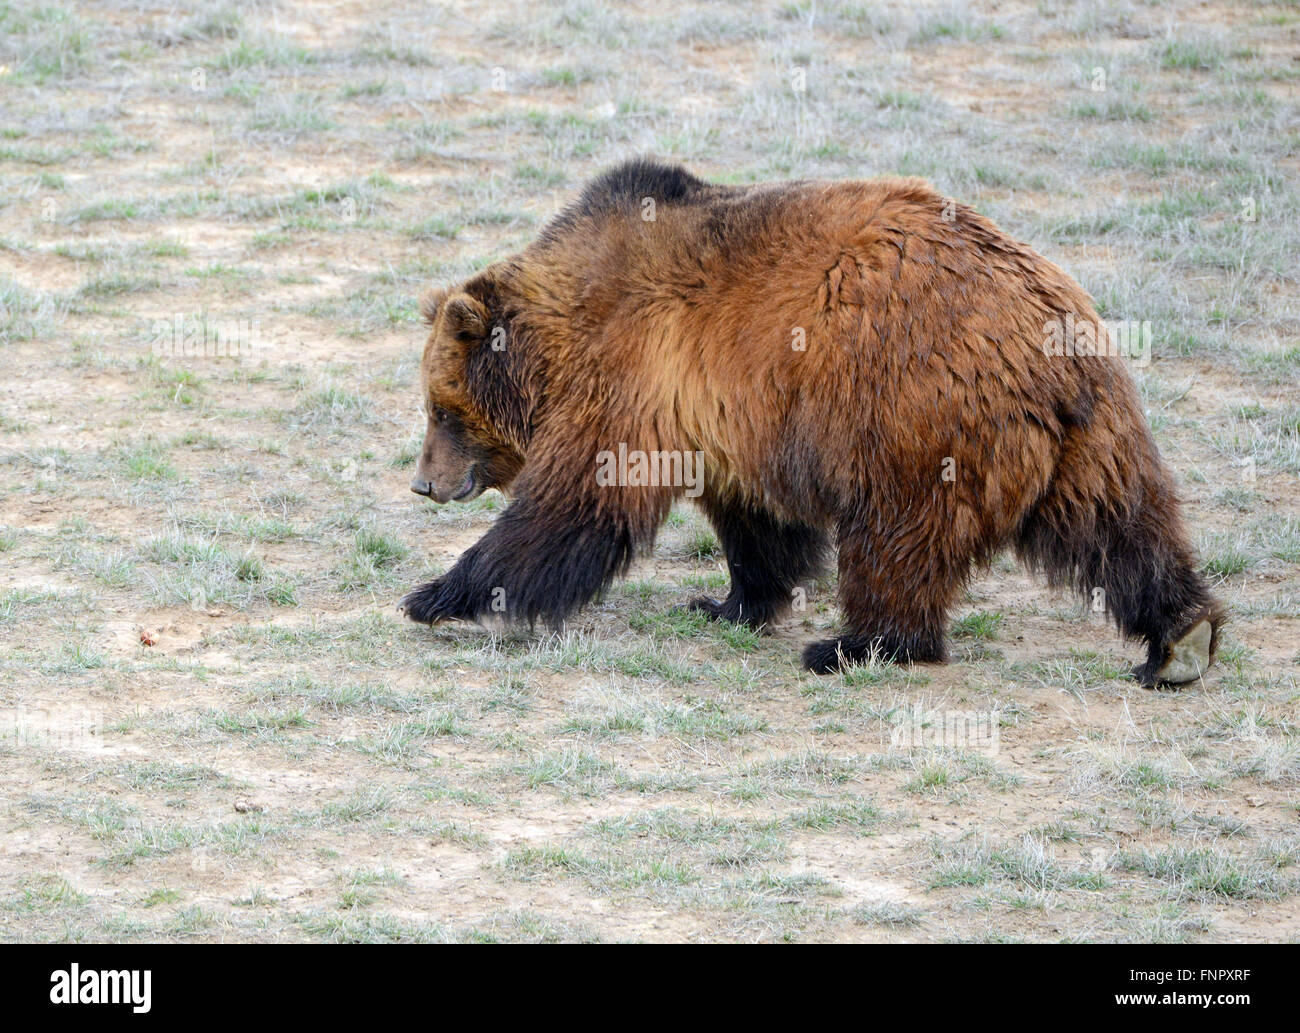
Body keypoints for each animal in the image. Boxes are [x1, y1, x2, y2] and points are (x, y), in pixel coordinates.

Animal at [395, 157, 1216, 686]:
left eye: (441, 408)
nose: (423, 484)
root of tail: (1045, 333)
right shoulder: (726, 411)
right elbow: (757, 527)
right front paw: (728, 601)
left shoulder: (633, 373)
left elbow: (572, 507)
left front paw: (437, 595)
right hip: (1089, 431)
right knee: (1120, 525)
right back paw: (1178, 635)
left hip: (912, 416)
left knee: (897, 540)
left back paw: (855, 645)